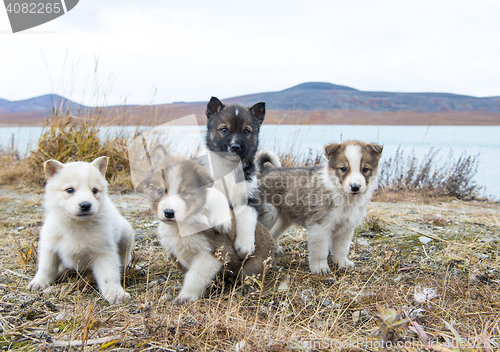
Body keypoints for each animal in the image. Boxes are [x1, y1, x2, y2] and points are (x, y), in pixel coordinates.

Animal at [28, 157, 134, 306]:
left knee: (125, 256)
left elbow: (109, 275)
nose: (85, 205)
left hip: (126, 235)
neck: (76, 225)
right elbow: (46, 267)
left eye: (94, 190)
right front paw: (39, 282)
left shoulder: (104, 252)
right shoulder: (49, 246)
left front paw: (115, 293)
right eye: (70, 190)